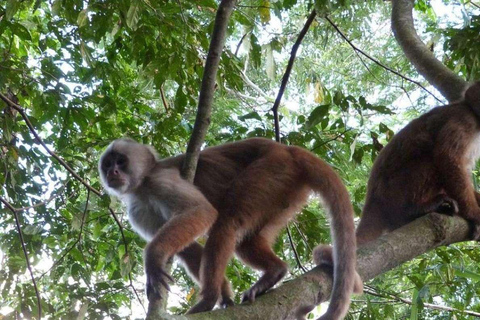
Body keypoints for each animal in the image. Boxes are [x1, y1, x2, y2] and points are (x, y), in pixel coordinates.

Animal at [99, 137, 362, 318]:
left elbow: (202, 213)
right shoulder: (138, 210)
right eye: (108, 164)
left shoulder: (160, 180)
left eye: (121, 161)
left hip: (272, 169)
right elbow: (189, 249)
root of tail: (287, 149)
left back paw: (208, 299)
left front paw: (153, 257)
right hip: (283, 191)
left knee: (227, 221)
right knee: (244, 241)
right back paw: (274, 271)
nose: (113, 172)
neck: (142, 185)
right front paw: (225, 293)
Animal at [354, 82, 480, 245]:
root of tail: (372, 200)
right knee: (430, 160)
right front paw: (475, 215)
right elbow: (447, 158)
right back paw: (415, 209)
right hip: (392, 193)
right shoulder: (464, 118)